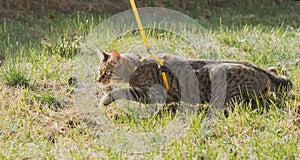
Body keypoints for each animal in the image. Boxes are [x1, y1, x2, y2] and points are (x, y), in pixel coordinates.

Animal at [98, 50, 292, 110]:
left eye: (105, 72)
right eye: (99, 72)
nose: (99, 80)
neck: (136, 66)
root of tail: (261, 71)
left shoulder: (146, 92)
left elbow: (120, 91)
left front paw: (105, 98)